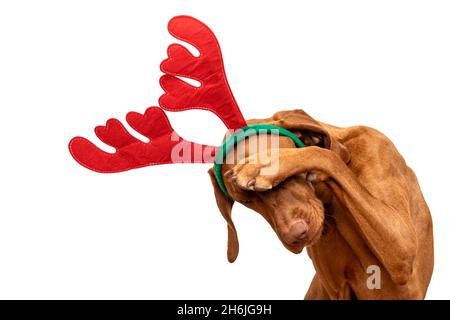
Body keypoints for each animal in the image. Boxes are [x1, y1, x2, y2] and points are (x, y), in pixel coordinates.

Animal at [209, 110, 434, 300]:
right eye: (247, 201)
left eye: (286, 178)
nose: (296, 235)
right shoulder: (338, 288)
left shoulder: (402, 247)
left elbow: (326, 155)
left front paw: (265, 164)